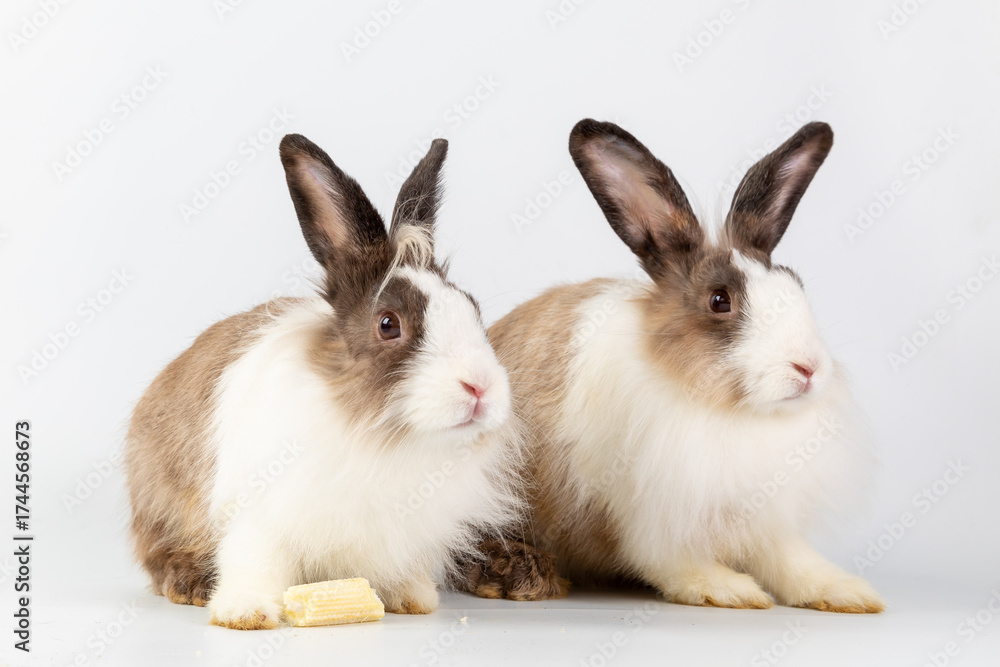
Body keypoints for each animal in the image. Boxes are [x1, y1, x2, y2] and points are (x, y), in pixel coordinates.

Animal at [125, 133, 522, 630]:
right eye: (388, 324)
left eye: (473, 309)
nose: (480, 388)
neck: (379, 435)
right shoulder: (259, 513)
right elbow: (255, 560)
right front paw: (245, 613)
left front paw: (413, 598)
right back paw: (190, 585)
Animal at [468, 119, 884, 613]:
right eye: (720, 300)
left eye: (796, 284)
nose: (809, 368)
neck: (728, 409)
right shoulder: (647, 512)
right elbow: (668, 558)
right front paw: (728, 589)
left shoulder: (768, 513)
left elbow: (790, 558)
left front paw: (846, 592)